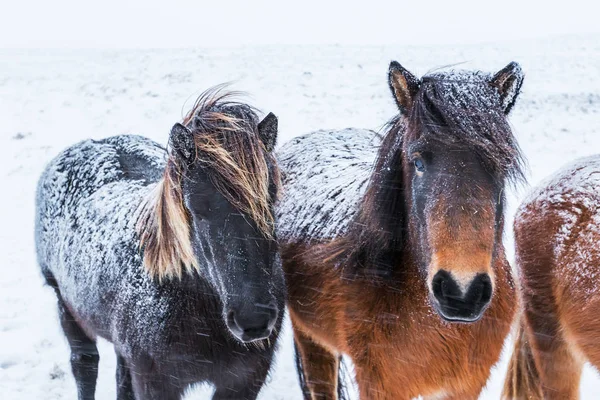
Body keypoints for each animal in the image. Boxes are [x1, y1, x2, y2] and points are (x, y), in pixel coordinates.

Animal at [34, 88, 286, 400]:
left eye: (270, 199)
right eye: (196, 207)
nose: (253, 319)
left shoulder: (244, 380)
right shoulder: (156, 383)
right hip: (68, 309)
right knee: (84, 365)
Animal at [276, 62, 524, 400]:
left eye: (501, 164)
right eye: (417, 161)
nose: (461, 292)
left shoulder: (465, 386)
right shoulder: (378, 385)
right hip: (311, 339)